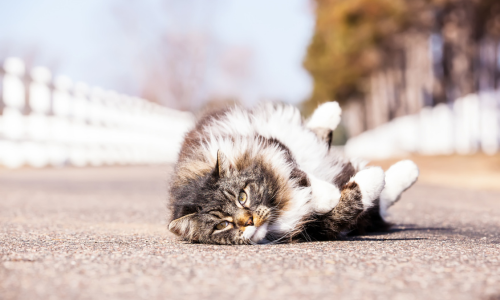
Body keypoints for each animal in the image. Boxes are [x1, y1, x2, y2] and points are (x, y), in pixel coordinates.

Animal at [168, 102, 418, 244]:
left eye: (242, 197)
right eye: (222, 226)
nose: (249, 221)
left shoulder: (272, 147)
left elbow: (299, 173)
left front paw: (325, 194)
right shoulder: (319, 228)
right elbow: (348, 204)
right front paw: (372, 177)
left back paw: (330, 111)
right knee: (381, 201)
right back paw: (406, 170)